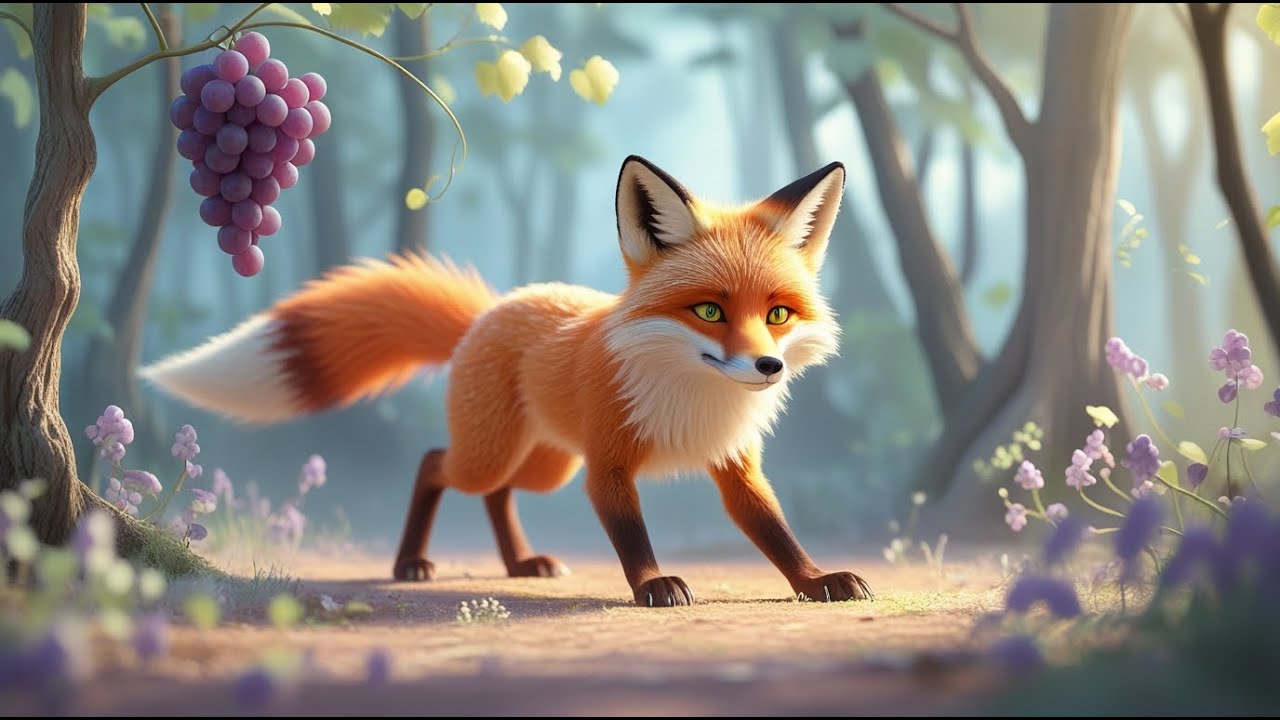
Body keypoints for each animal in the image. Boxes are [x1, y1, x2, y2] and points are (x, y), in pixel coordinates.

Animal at [141, 156, 872, 606]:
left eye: (778, 315)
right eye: (711, 311)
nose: (769, 367)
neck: (690, 396)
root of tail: (492, 309)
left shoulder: (735, 463)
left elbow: (773, 529)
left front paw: (816, 579)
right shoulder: (607, 466)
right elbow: (631, 534)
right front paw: (653, 585)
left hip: (546, 461)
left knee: (499, 494)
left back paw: (521, 564)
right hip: (498, 452)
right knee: (437, 464)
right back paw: (410, 564)